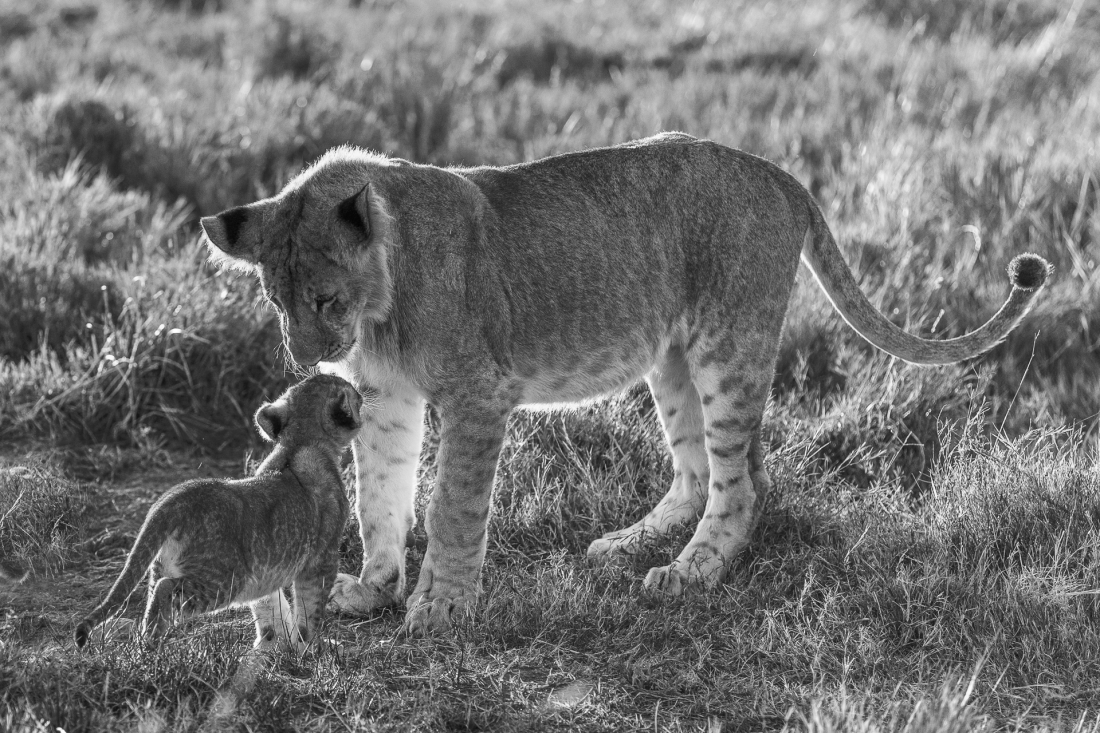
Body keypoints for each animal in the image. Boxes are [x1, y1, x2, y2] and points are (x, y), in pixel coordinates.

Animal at [74, 374, 363, 651]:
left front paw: (275, 644)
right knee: (167, 588)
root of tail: (175, 499)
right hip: (225, 579)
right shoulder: (322, 557)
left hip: (162, 564)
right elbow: (310, 609)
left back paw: (149, 641)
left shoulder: (265, 572)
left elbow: (269, 606)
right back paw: (151, 643)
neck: (300, 441)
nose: (361, 395)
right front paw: (311, 648)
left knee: (154, 595)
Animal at [200, 133, 1050, 635]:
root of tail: (783, 176)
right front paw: (375, 588)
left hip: (728, 346)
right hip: (671, 358)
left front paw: (441, 604)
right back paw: (625, 544)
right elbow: (381, 497)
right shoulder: (387, 397)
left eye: (325, 300)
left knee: (742, 483)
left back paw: (689, 571)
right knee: (698, 469)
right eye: (276, 300)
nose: (310, 357)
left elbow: (451, 505)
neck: (380, 307)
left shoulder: (479, 393)